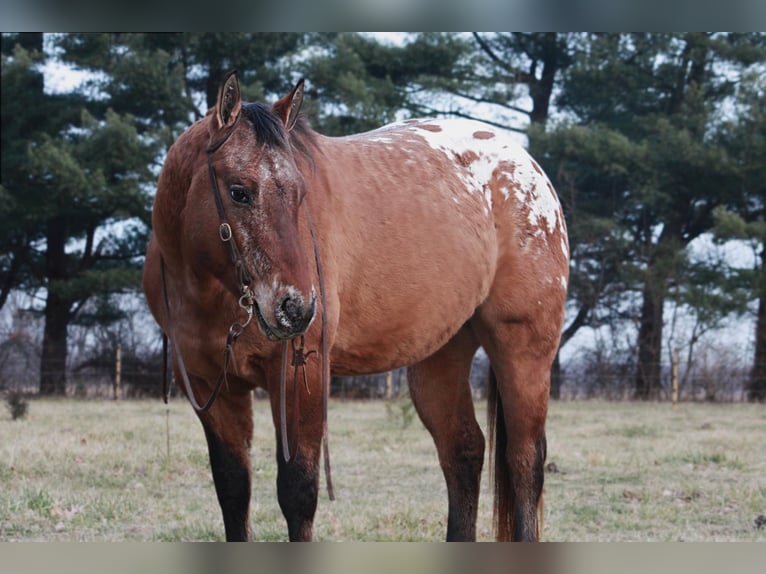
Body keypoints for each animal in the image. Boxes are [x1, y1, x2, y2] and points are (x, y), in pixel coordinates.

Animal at [142, 70, 568, 544]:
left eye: (301, 194)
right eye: (238, 192)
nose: (296, 308)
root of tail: (529, 169)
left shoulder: (302, 376)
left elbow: (298, 493)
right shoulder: (210, 387)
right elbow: (234, 491)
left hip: (524, 353)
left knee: (524, 459)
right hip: (440, 358)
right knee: (463, 451)